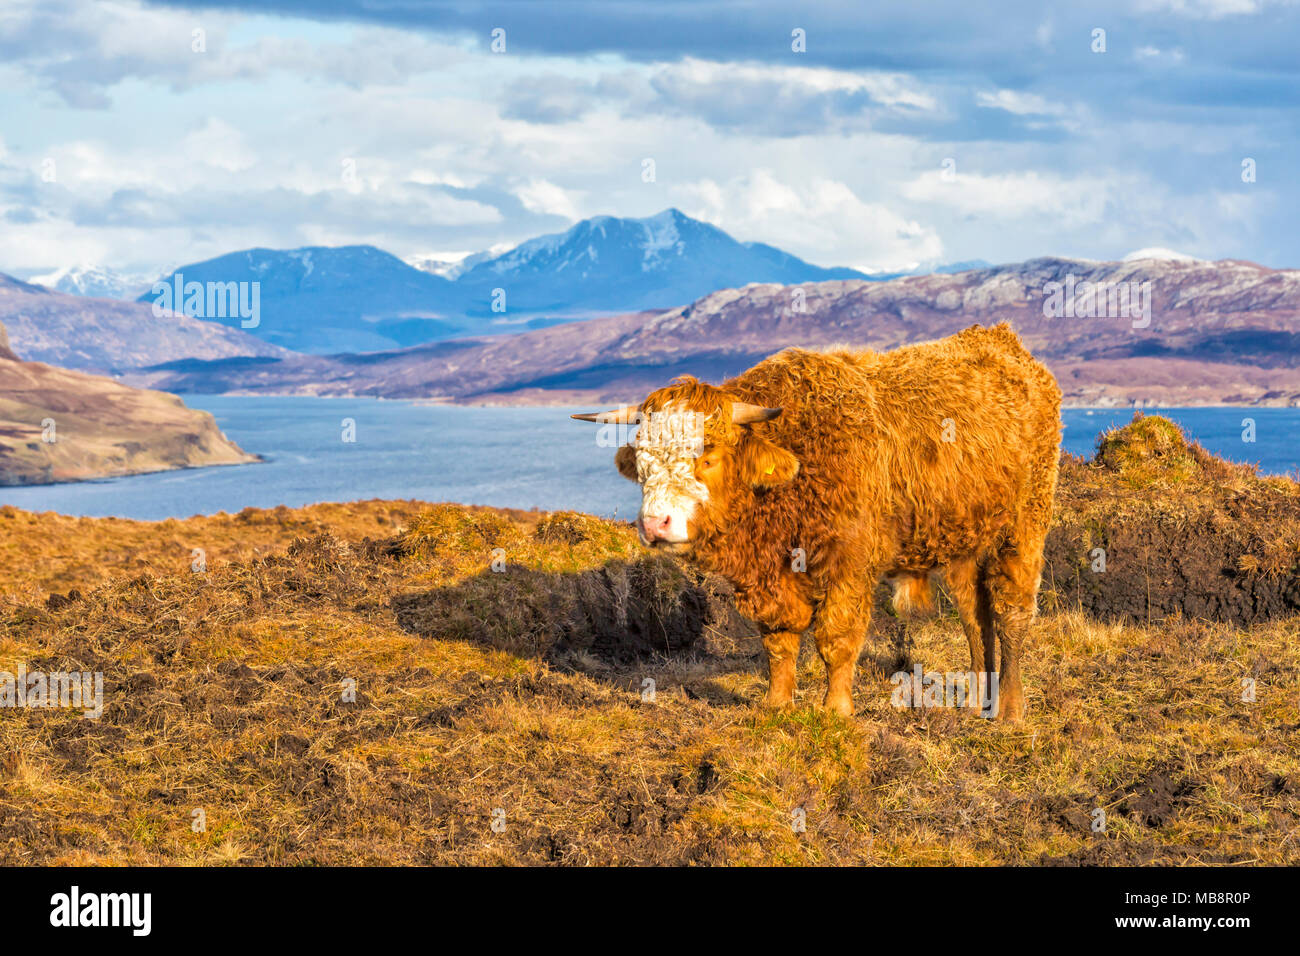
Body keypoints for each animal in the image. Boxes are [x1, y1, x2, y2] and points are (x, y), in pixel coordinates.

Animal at [574, 325, 1060, 723]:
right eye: (641, 460)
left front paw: (836, 710)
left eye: (708, 456)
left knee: (1011, 613)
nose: (656, 523)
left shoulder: (849, 563)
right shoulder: (768, 578)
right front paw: (777, 704)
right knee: (975, 616)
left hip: (1024, 525)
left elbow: (836, 637)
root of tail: (1002, 343)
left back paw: (1010, 710)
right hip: (964, 540)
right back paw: (978, 702)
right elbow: (779, 639)